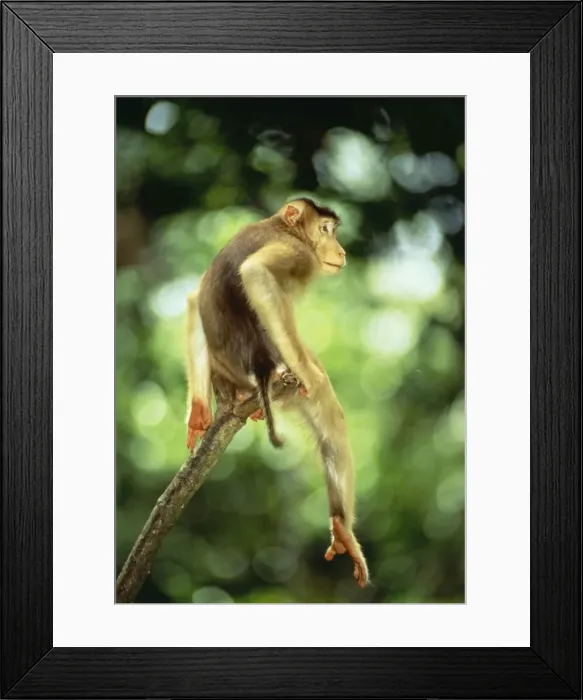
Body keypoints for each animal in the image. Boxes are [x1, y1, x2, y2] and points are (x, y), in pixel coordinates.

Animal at [184, 198, 369, 587]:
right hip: (280, 374)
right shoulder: (298, 253)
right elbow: (256, 273)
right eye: (326, 230)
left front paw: (197, 412)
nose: (341, 251)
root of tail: (258, 372)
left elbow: (193, 298)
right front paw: (308, 372)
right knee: (327, 408)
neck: (282, 227)